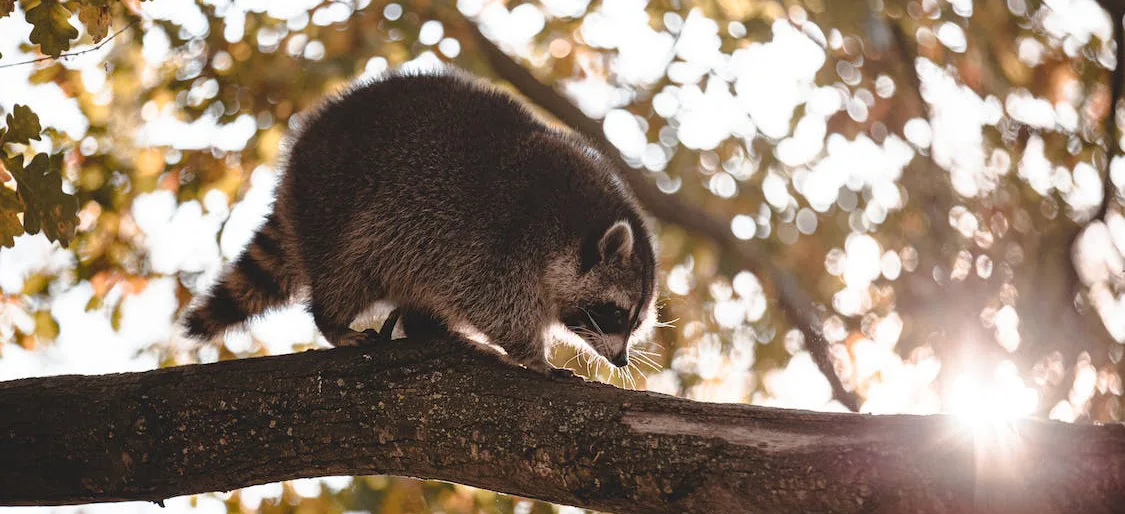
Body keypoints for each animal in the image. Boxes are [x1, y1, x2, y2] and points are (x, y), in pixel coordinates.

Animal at [181, 67, 658, 373]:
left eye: (635, 322)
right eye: (615, 313)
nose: (621, 360)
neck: (570, 219)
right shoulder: (497, 238)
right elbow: (491, 300)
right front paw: (530, 352)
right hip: (337, 207)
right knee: (344, 272)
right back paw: (333, 321)